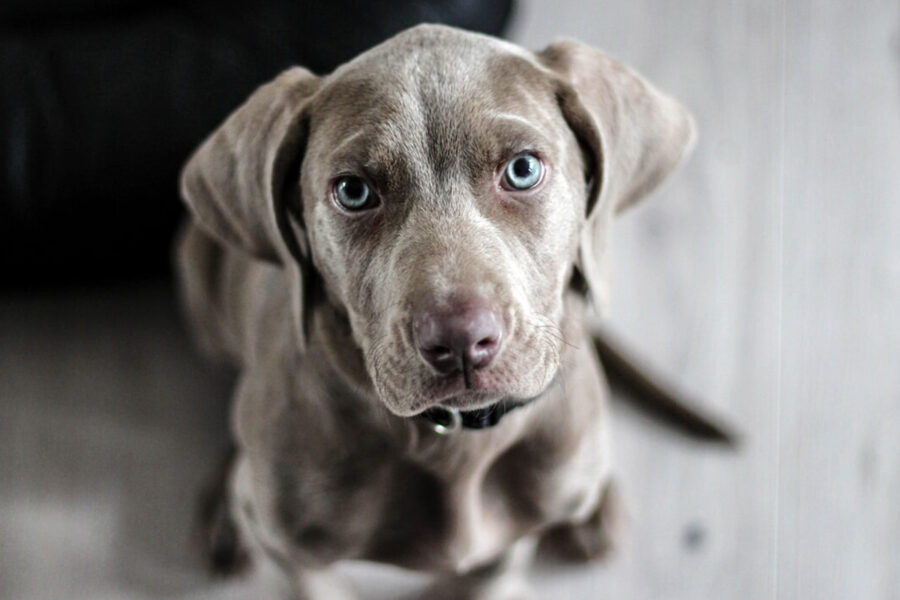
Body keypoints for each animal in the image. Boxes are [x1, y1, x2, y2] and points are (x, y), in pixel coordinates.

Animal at [176, 23, 696, 600]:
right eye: (353, 191)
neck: (455, 443)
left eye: (523, 170)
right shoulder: (293, 549)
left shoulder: (507, 546)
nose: (461, 341)